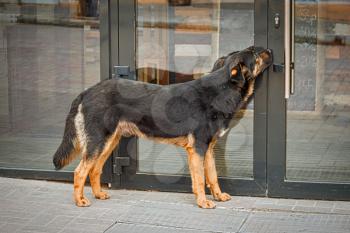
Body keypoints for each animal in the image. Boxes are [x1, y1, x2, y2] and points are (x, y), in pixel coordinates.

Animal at [53, 45, 272, 208]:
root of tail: (87, 91)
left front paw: (218, 196)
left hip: (109, 142)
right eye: (254, 53)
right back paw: (80, 201)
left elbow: (212, 176)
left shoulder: (208, 149)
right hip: (98, 141)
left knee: (95, 170)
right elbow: (200, 179)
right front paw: (203, 202)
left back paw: (99, 194)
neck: (222, 89)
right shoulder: (198, 149)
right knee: (80, 171)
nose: (270, 49)